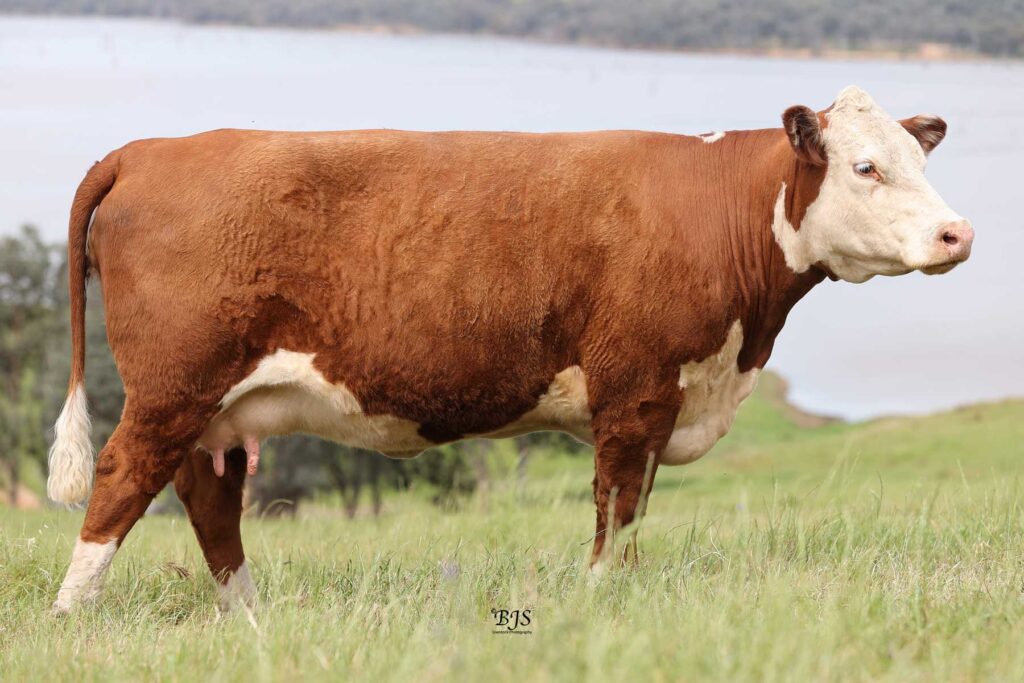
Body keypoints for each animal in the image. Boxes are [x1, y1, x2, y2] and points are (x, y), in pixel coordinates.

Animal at [49, 87, 974, 614]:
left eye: (918, 159)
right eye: (864, 167)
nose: (957, 232)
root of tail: (149, 150)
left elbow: (628, 508)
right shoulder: (636, 389)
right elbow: (616, 509)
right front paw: (599, 602)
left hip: (217, 407)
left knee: (209, 500)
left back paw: (248, 616)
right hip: (174, 386)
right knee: (123, 477)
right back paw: (72, 615)